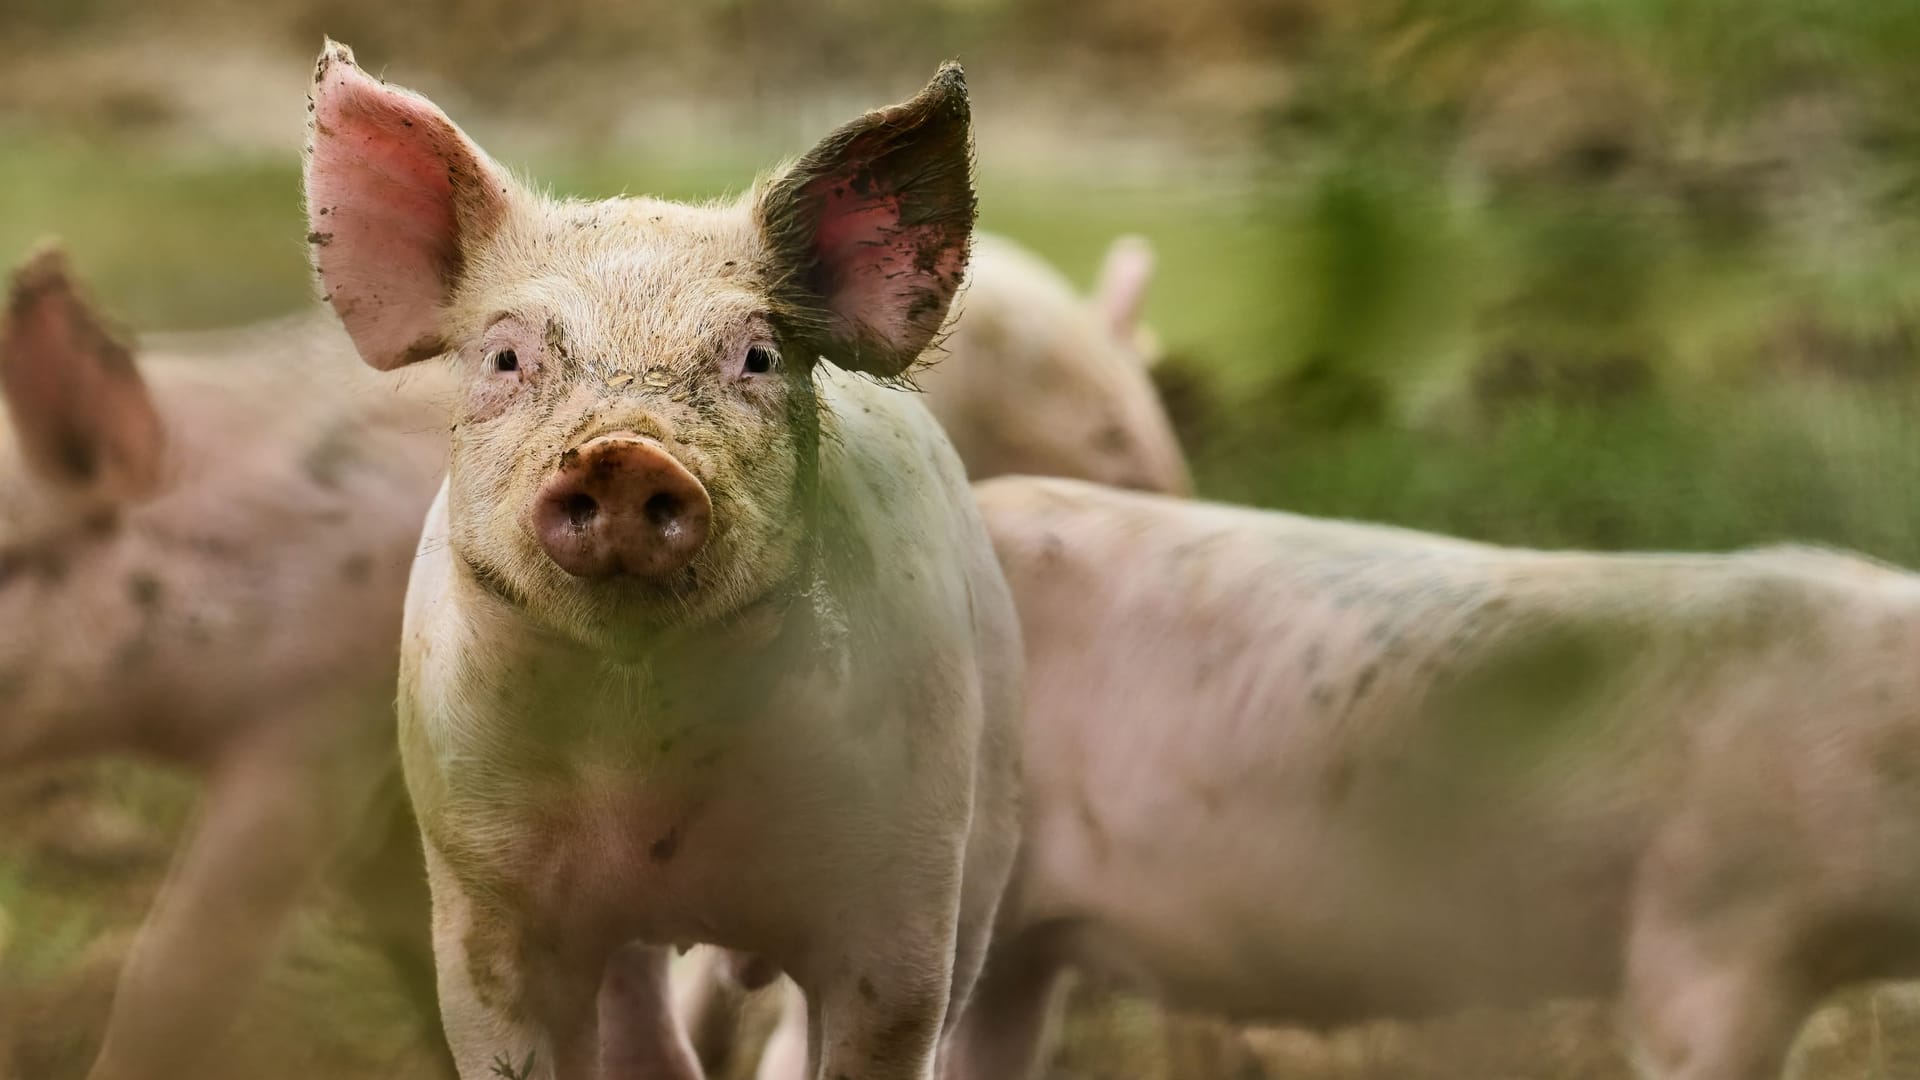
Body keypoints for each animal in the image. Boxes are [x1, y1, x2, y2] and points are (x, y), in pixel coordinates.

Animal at [303, 39, 1021, 1076]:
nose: (623, 452)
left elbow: (889, 1022)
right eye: (506, 359)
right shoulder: (478, 890)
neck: (641, 752)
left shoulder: (904, 887)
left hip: (993, 807)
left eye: (758, 357)